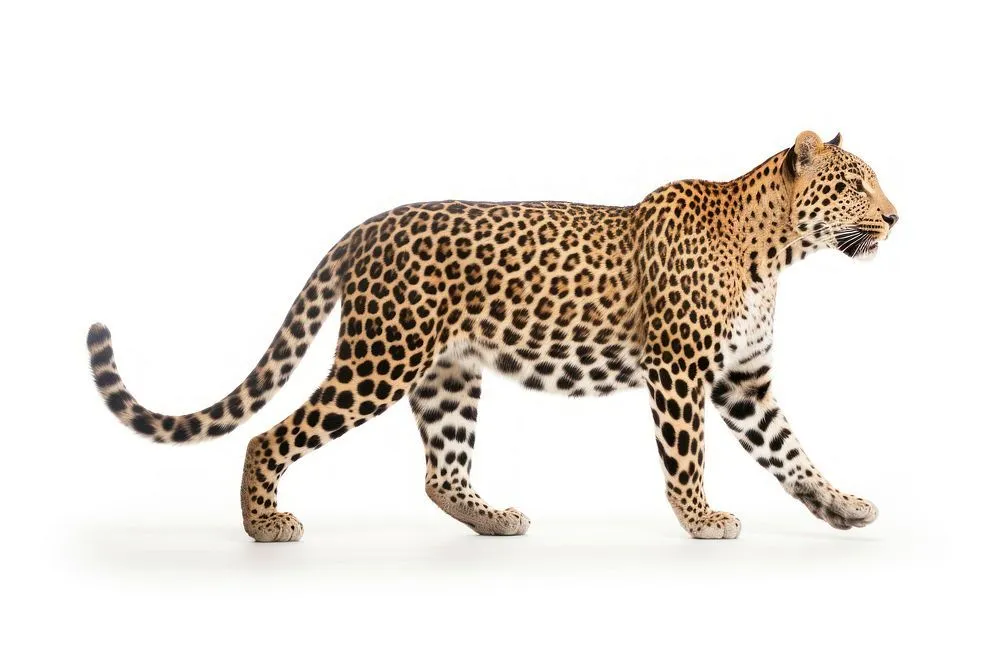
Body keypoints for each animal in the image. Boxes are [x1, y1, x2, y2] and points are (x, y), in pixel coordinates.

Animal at [88, 130, 898, 542]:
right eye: (854, 184)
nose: (895, 217)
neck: (776, 254)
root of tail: (365, 227)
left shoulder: (742, 380)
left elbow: (790, 451)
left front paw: (841, 506)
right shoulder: (680, 369)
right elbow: (686, 455)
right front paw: (702, 520)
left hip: (446, 373)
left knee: (440, 472)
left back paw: (494, 519)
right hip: (379, 360)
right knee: (270, 434)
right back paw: (264, 523)